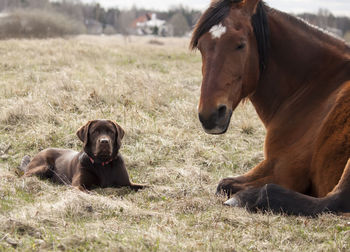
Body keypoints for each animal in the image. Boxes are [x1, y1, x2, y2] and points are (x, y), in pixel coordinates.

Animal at [191, 0, 350, 217]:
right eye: (201, 46)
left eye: (240, 44)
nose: (210, 115)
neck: (318, 84)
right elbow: (225, 183)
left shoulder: (283, 170)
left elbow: (225, 185)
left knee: (333, 201)